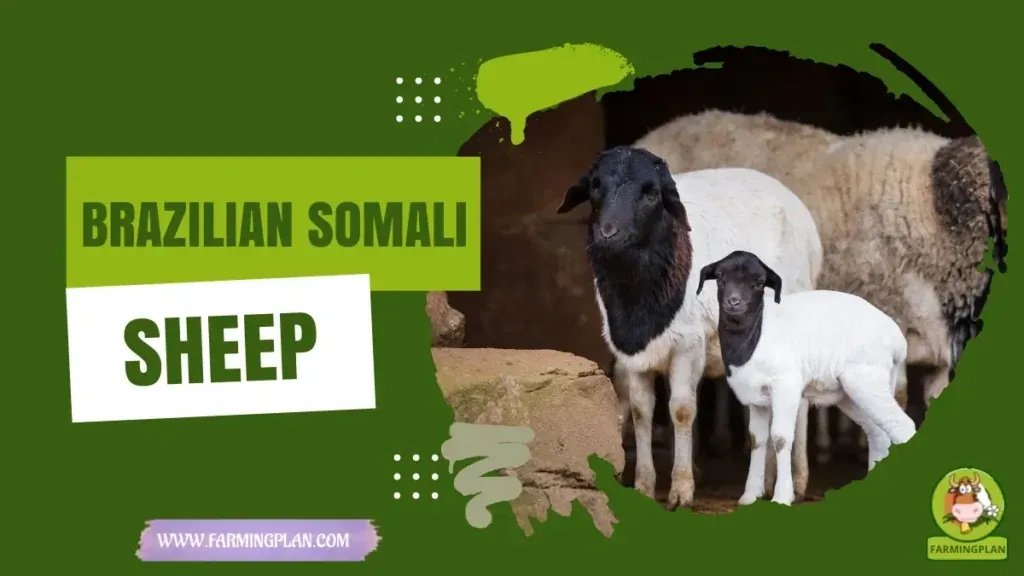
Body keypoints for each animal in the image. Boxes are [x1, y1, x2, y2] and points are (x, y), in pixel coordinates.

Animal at [556, 146, 822, 508]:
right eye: (595, 185)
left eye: (652, 192)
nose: (608, 234)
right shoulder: (631, 352)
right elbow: (641, 411)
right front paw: (644, 485)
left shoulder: (688, 344)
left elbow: (681, 410)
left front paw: (681, 489)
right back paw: (767, 482)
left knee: (801, 404)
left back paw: (798, 479)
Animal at [696, 250, 916, 505]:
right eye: (720, 277)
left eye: (759, 283)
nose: (734, 302)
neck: (755, 334)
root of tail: (898, 340)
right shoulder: (756, 398)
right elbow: (756, 440)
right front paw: (750, 495)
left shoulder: (786, 386)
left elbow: (780, 438)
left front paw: (782, 497)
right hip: (852, 393)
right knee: (878, 432)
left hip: (867, 380)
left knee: (902, 427)